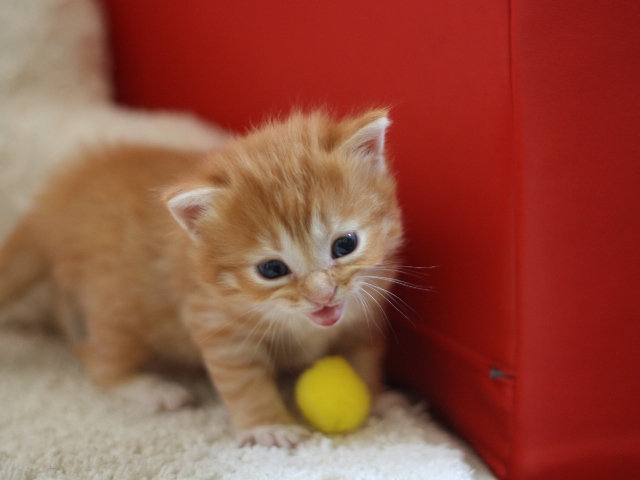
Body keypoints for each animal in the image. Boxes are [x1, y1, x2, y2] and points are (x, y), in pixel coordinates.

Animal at [0, 109, 400, 446]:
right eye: (272, 269)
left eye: (345, 244)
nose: (323, 295)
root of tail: (56, 203)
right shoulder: (215, 322)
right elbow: (244, 381)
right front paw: (268, 425)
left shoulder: (363, 314)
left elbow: (364, 356)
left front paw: (376, 398)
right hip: (116, 313)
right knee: (97, 359)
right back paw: (151, 387)